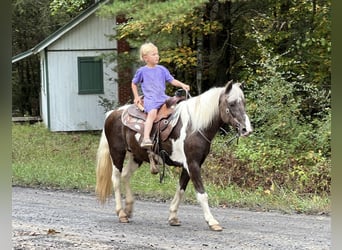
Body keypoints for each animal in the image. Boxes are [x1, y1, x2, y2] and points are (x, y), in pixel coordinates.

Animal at [95, 80, 252, 230]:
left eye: (244, 103)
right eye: (232, 103)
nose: (247, 129)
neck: (194, 127)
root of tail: (112, 113)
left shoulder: (190, 165)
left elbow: (181, 189)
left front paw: (173, 217)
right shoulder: (192, 164)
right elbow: (202, 194)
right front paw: (212, 221)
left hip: (136, 156)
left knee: (126, 175)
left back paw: (128, 208)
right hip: (117, 153)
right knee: (116, 179)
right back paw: (121, 213)